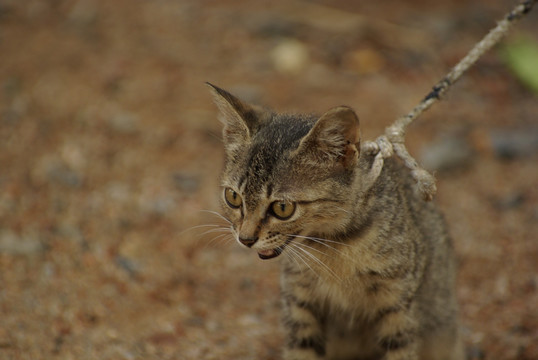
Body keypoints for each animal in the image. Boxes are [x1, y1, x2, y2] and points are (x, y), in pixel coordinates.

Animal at [207, 83, 462, 360]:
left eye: (282, 208)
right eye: (233, 197)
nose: (245, 239)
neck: (333, 247)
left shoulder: (399, 307)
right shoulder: (300, 302)